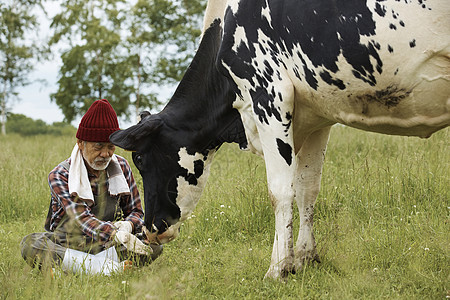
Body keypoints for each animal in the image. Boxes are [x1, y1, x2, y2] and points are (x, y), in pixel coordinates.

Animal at [110, 0, 450, 280]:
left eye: (139, 158)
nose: (150, 228)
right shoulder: (316, 115)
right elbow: (307, 188)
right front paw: (305, 258)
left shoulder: (269, 94)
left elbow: (280, 191)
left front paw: (278, 268)